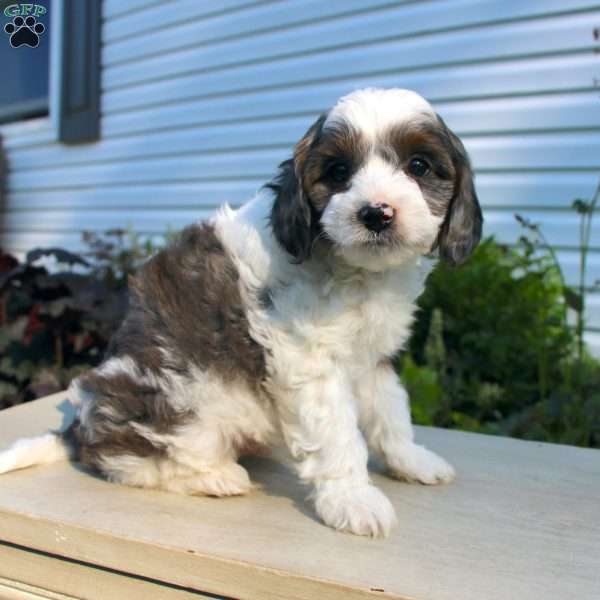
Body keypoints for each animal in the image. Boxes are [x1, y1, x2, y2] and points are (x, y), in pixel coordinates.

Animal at [0, 90, 482, 540]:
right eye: (338, 172)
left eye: (419, 166)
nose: (376, 213)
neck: (357, 272)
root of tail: (80, 425)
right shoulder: (310, 364)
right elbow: (339, 435)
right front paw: (353, 499)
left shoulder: (372, 357)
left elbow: (390, 411)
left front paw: (410, 460)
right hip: (179, 402)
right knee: (124, 458)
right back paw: (216, 476)